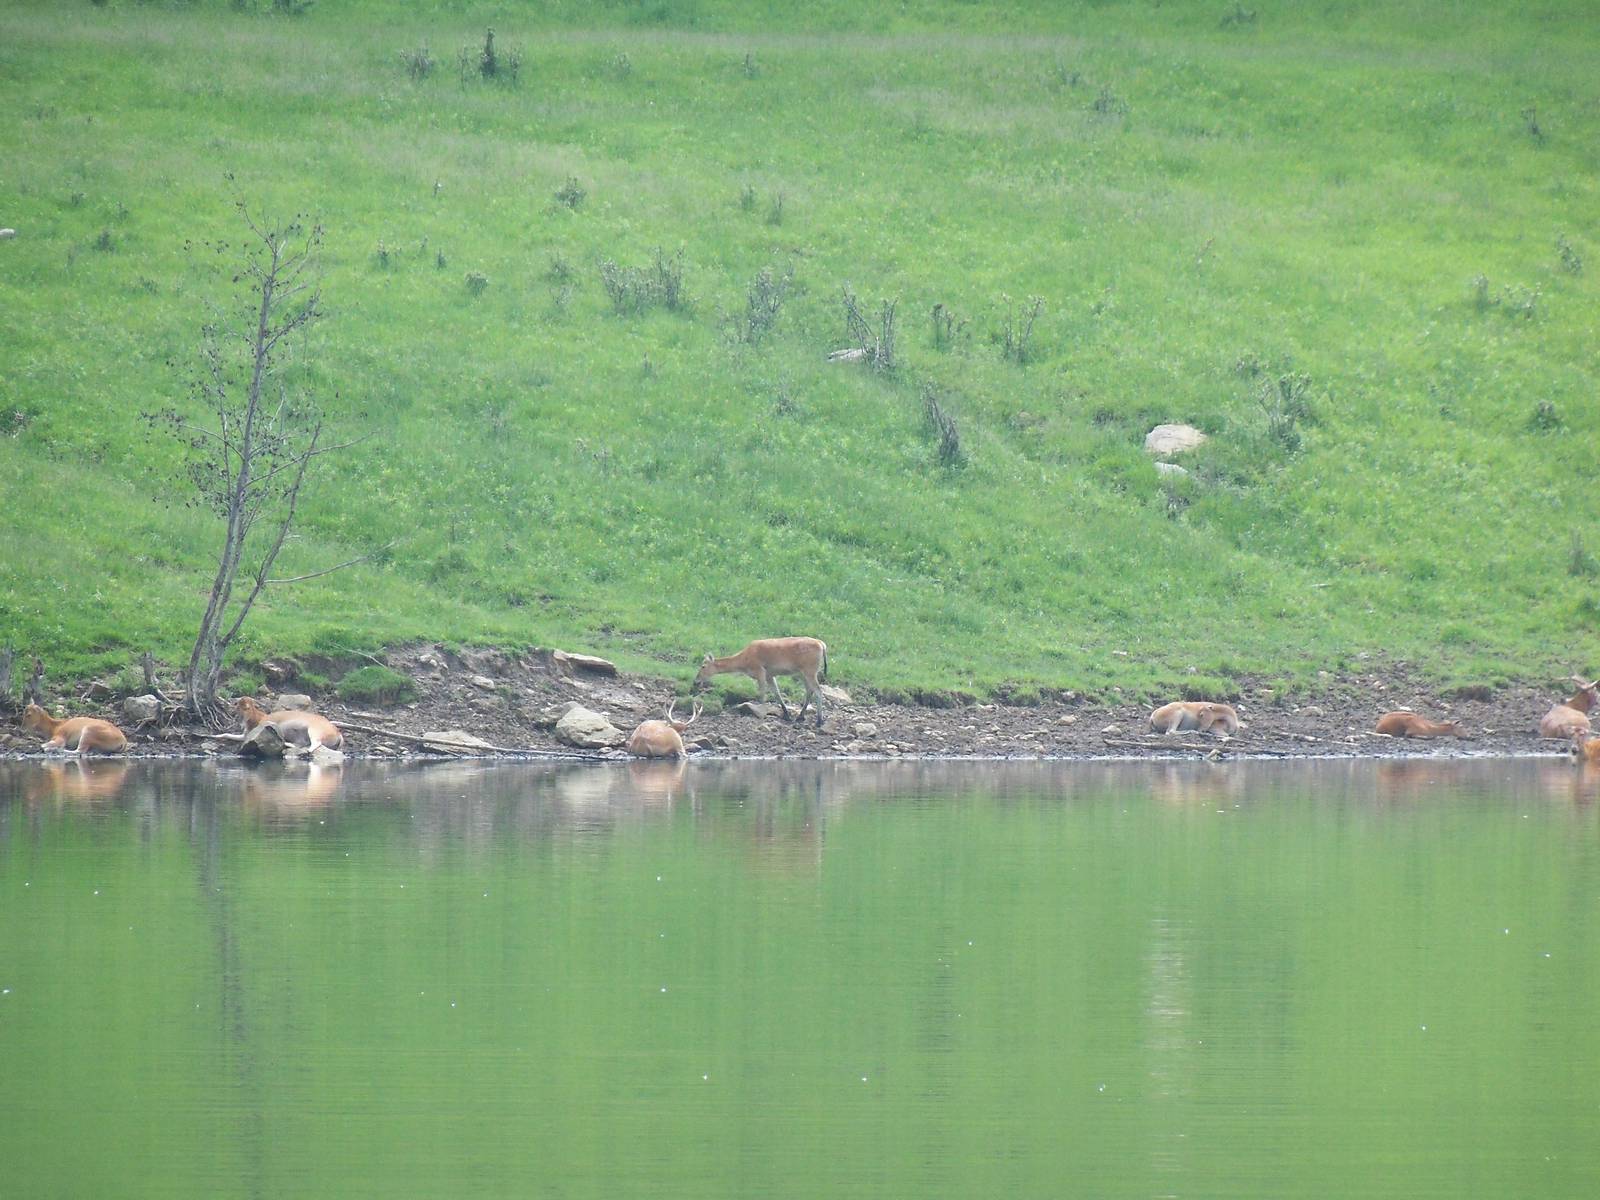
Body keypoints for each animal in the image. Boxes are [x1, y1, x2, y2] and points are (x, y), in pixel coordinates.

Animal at [693, 637, 830, 727]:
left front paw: (760, 714)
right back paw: (801, 716)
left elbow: (762, 694)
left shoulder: (760, 671)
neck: (744, 662)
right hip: (802, 673)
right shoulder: (769, 675)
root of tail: (822, 645)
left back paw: (819, 721)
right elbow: (776, 693)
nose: (695, 681)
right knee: (809, 690)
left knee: (818, 691)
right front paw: (786, 715)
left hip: (810, 670)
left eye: (703, 666)